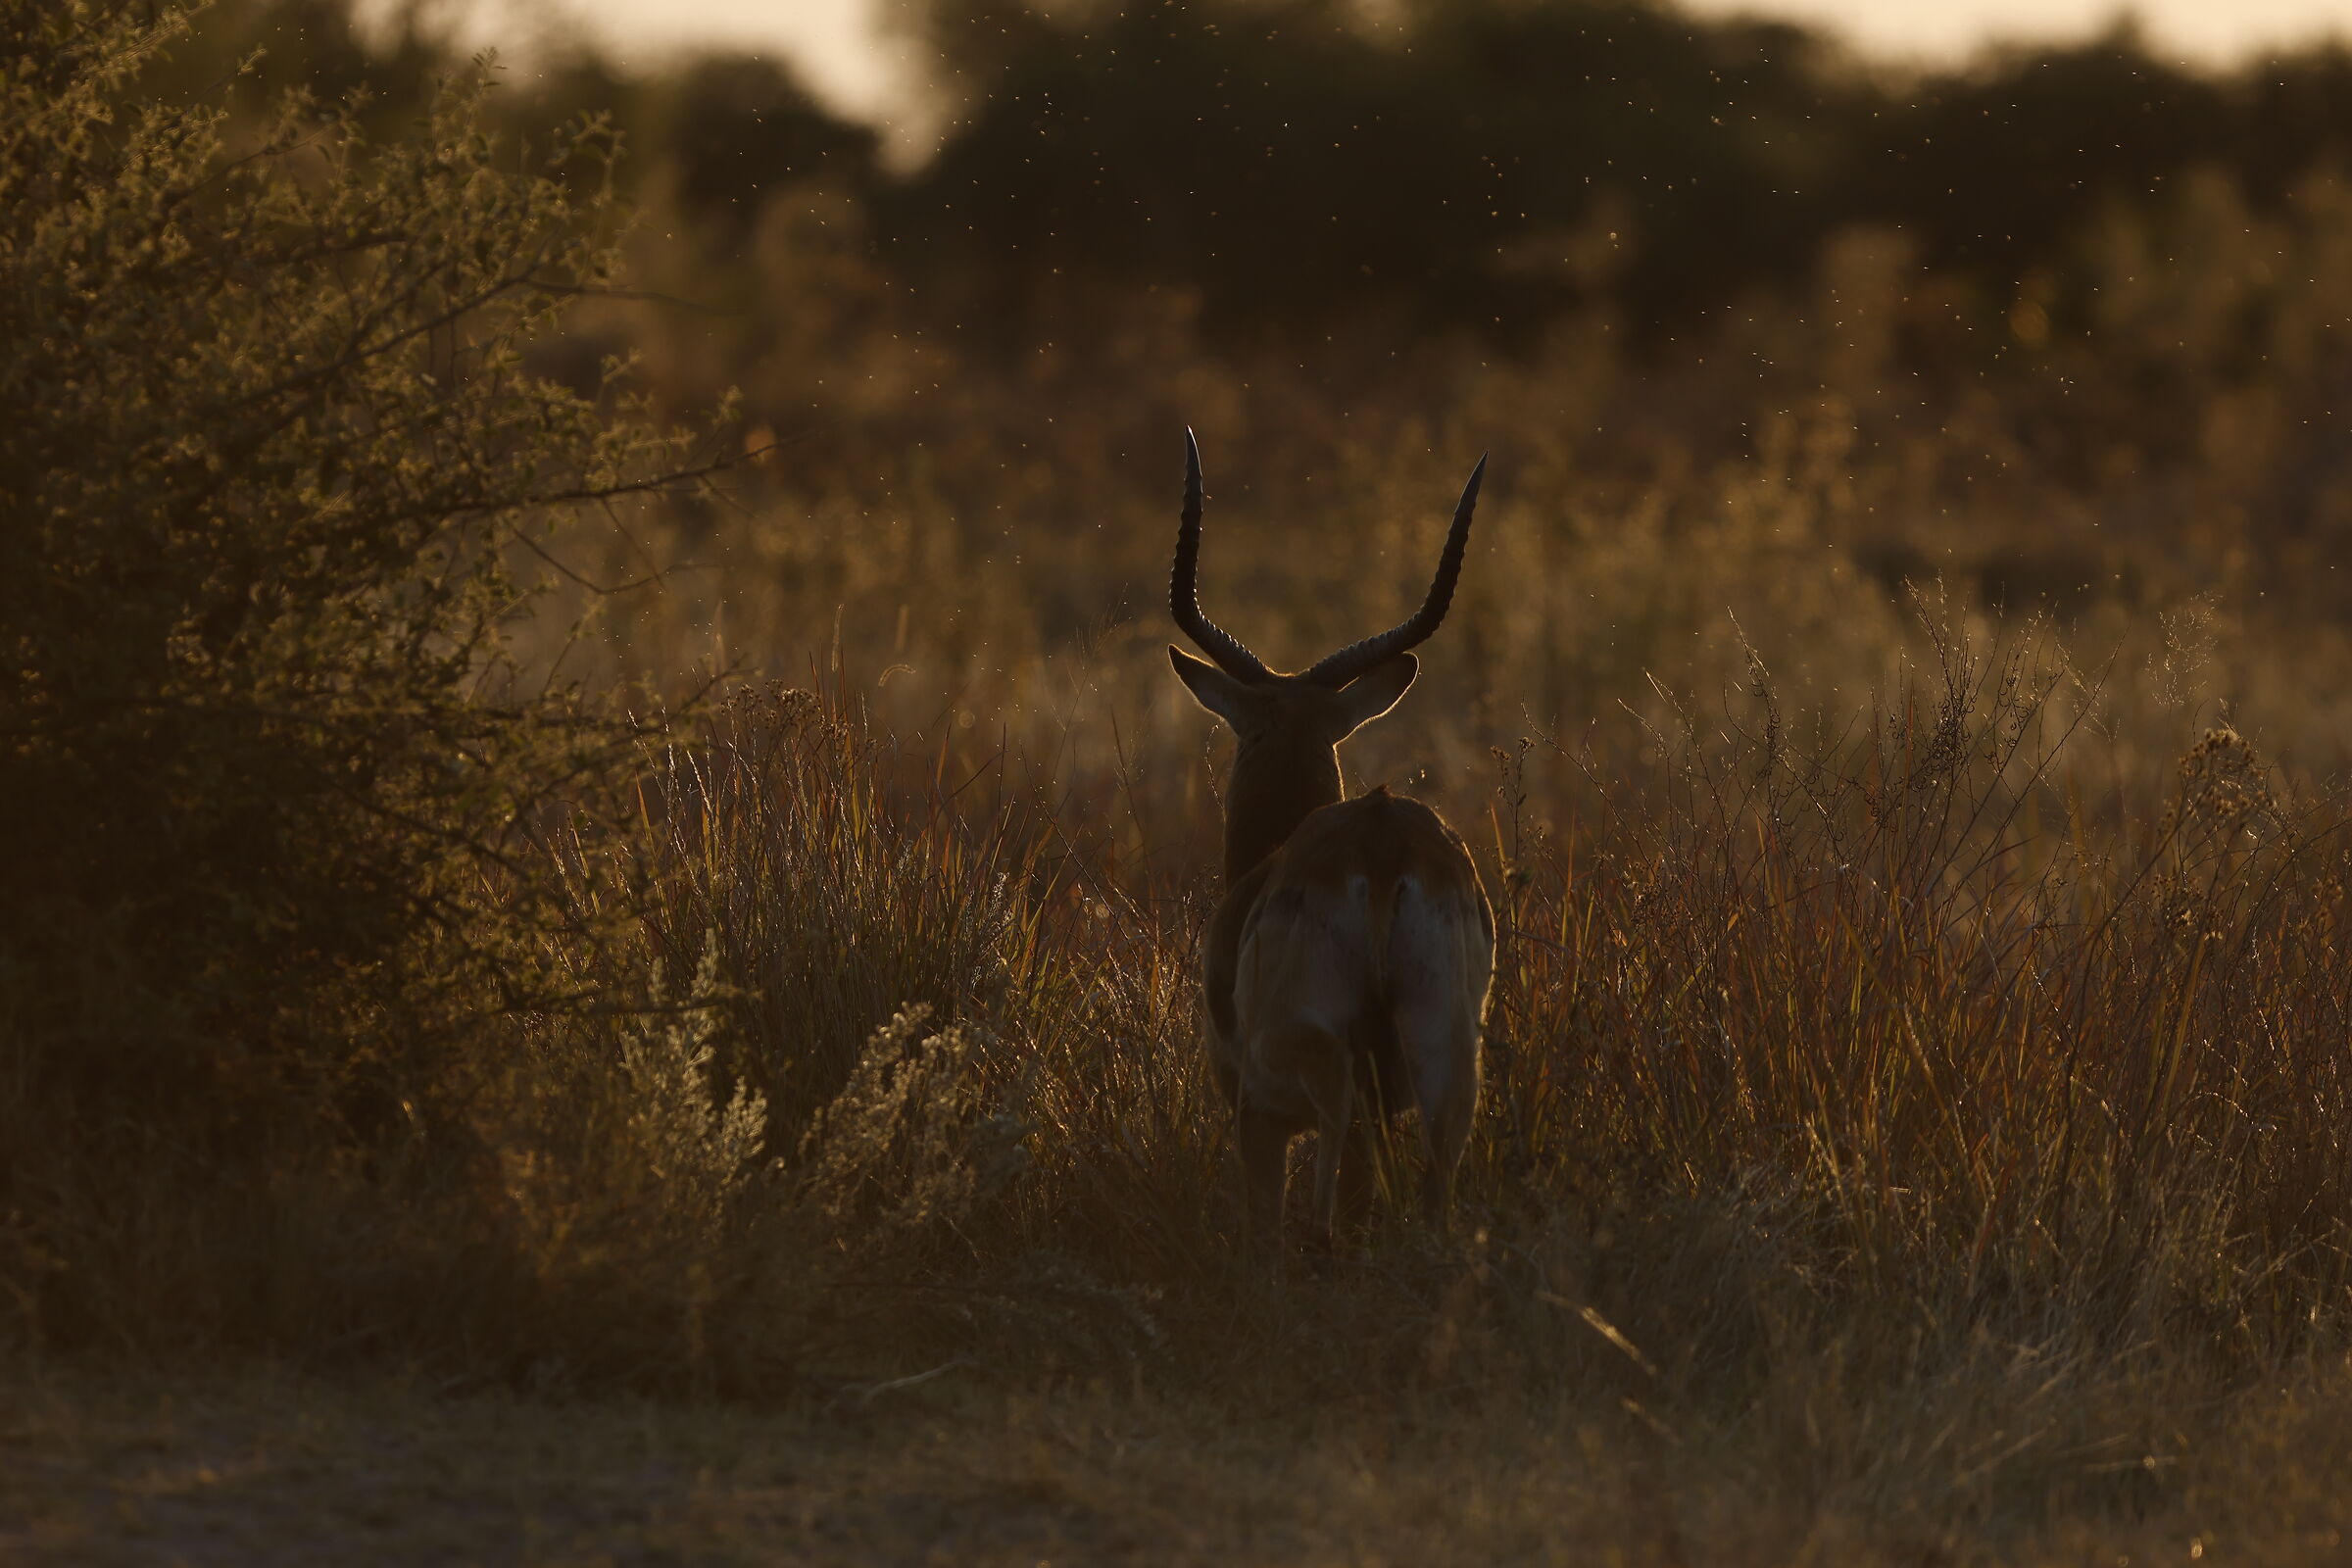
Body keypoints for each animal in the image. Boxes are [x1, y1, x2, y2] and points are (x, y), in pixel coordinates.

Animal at [1167, 430, 1495, 1249]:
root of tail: (1381, 846)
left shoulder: (1250, 1105)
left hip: (1316, 1059)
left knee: (1332, 1157)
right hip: (1446, 1054)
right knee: (1430, 1180)